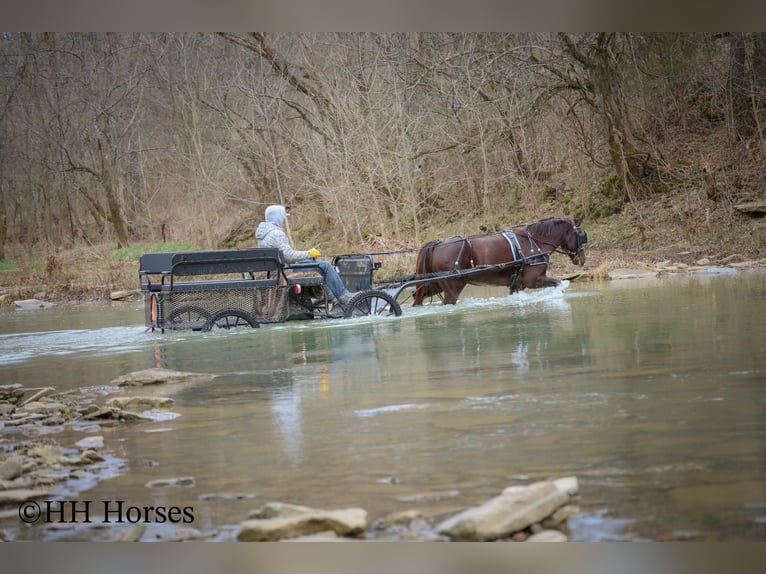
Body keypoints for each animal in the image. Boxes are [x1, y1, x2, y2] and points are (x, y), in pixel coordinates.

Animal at [412, 217, 587, 306]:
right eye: (581, 235)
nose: (582, 259)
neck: (535, 242)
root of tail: (437, 243)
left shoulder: (517, 285)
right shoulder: (533, 280)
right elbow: (559, 284)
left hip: (432, 286)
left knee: (417, 300)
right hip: (452, 289)